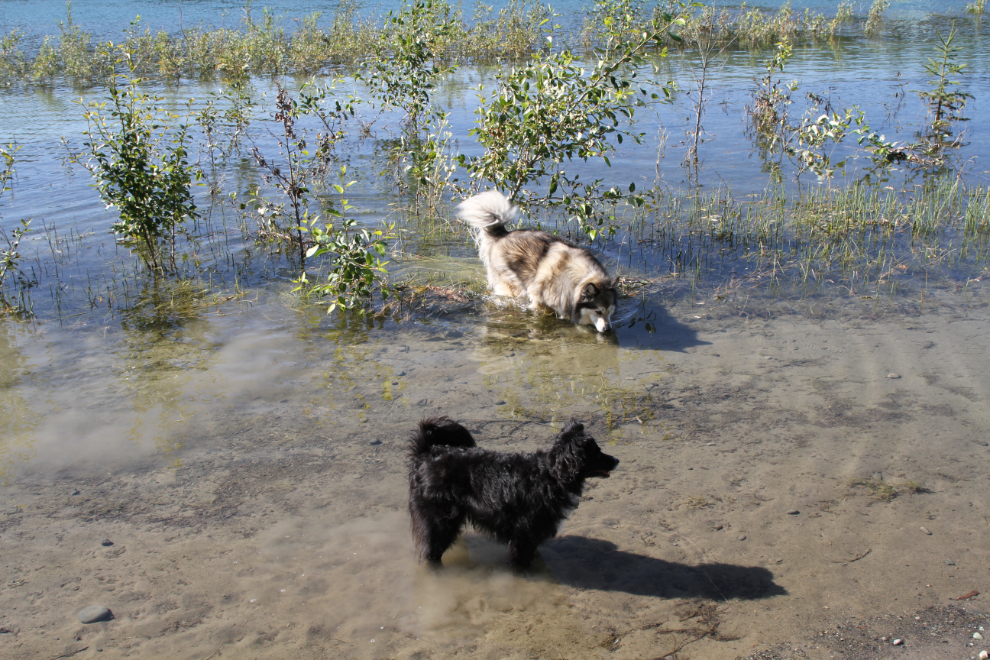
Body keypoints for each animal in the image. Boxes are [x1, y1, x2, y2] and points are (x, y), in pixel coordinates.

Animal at [406, 418, 616, 568]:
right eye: (597, 452)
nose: (616, 460)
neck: (552, 474)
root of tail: (426, 453)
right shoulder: (523, 535)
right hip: (438, 522)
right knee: (430, 549)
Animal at [460, 192, 616, 336]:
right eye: (598, 311)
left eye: (610, 311)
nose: (608, 329)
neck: (577, 280)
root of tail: (502, 234)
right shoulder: (539, 300)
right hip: (511, 285)